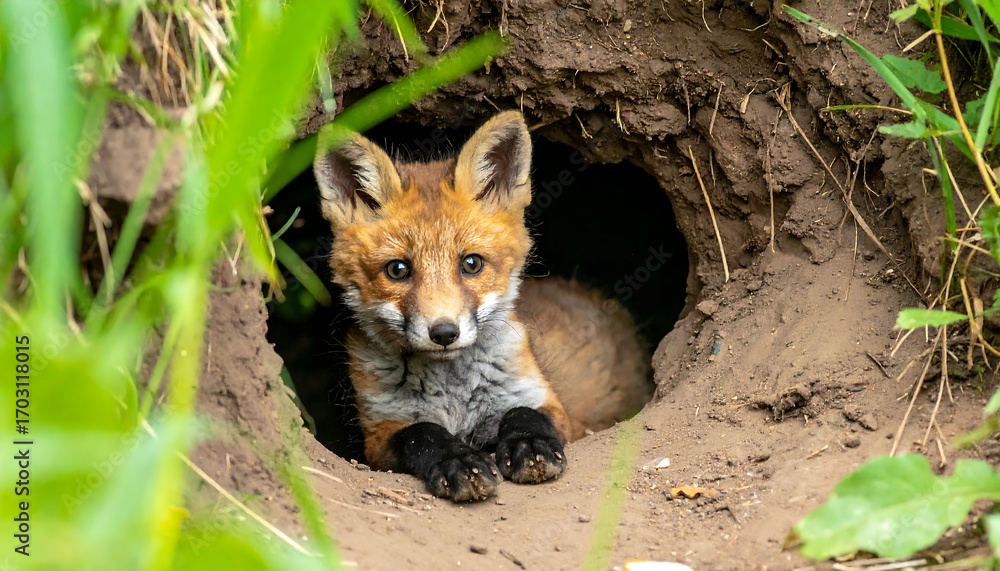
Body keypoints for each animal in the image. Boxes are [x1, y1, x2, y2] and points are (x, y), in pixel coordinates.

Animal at [313, 111, 652, 502]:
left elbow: (522, 414)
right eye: (397, 270)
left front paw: (529, 445)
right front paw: (458, 461)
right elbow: (423, 432)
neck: (453, 393)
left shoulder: (547, 403)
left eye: (471, 264)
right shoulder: (379, 434)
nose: (444, 332)